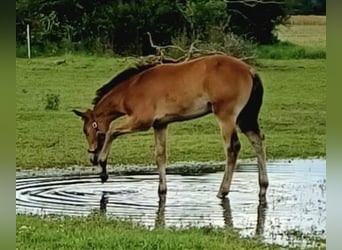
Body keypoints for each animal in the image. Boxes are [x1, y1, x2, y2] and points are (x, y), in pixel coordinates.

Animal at [73, 54, 268, 201]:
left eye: (86, 131)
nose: (91, 157)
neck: (132, 88)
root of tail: (249, 70)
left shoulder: (142, 122)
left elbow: (112, 132)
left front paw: (103, 168)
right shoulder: (160, 125)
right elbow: (160, 156)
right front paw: (162, 189)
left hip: (226, 117)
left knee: (232, 148)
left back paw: (223, 191)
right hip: (245, 119)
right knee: (258, 142)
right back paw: (263, 187)